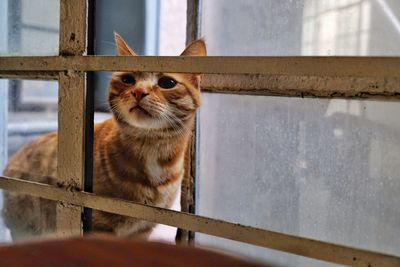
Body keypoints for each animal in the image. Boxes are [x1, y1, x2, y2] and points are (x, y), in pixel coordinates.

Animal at [3, 33, 206, 241]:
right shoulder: (100, 226)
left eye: (167, 83)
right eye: (127, 79)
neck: (151, 148)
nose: (138, 92)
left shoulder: (142, 230)